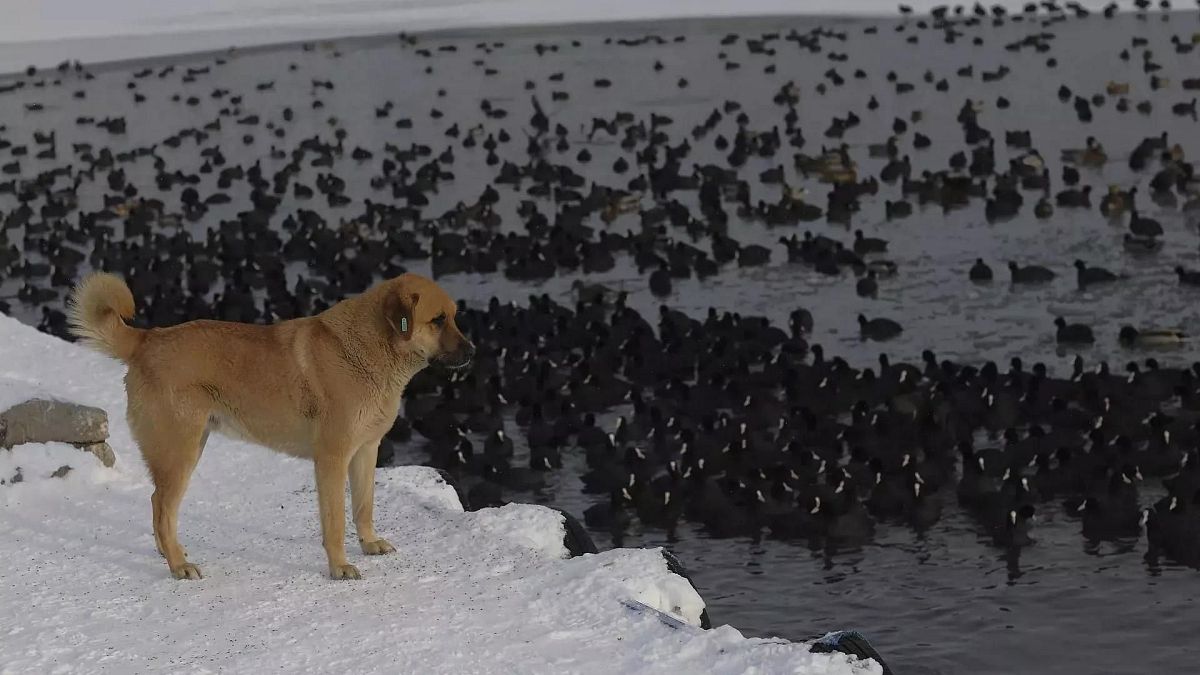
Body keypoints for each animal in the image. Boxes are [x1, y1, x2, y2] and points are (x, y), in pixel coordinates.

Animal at [66, 270, 472, 576]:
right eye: (437, 320)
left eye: (454, 316)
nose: (474, 351)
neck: (369, 350)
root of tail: (146, 340)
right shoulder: (332, 459)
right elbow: (336, 521)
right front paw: (339, 567)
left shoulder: (365, 452)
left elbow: (363, 506)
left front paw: (370, 544)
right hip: (180, 452)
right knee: (162, 507)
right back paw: (179, 565)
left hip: (188, 449)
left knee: (158, 506)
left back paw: (171, 555)